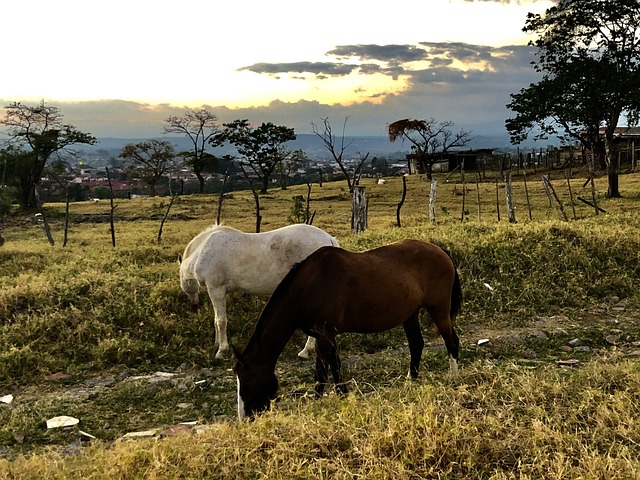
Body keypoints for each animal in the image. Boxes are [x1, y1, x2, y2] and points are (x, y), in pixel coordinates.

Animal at [179, 223, 340, 358]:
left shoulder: (216, 289)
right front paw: (216, 344)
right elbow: (216, 319)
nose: (194, 305)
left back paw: (306, 351)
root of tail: (328, 239)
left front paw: (222, 350)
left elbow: (221, 321)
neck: (203, 250)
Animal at [232, 240, 462, 420]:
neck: (309, 286)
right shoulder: (324, 335)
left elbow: (325, 370)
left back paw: (453, 378)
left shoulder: (325, 335)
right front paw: (337, 396)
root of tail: (441, 251)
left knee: (451, 341)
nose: (245, 418)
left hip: (439, 309)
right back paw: (410, 381)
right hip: (410, 314)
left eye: (247, 381)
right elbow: (331, 368)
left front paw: (324, 401)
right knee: (416, 344)